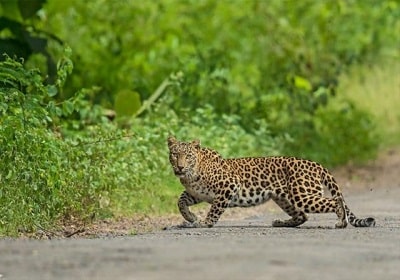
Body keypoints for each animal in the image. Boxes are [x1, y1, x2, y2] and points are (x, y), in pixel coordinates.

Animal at [167, 136, 376, 230]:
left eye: (188, 156)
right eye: (175, 154)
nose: (180, 167)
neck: (192, 173)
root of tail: (316, 164)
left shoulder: (229, 185)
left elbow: (215, 209)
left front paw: (204, 222)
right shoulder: (196, 193)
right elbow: (181, 201)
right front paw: (191, 217)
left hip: (302, 196)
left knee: (335, 201)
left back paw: (341, 222)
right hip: (285, 198)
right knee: (302, 216)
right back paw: (281, 222)